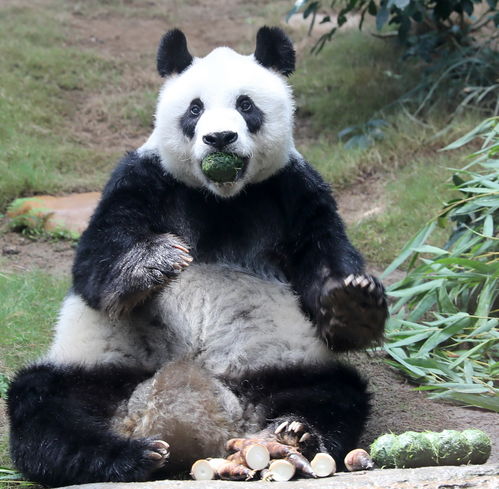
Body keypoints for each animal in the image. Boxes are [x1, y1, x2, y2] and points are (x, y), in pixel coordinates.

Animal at [8, 26, 390, 484]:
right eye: (195, 109)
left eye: (246, 105)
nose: (219, 138)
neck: (220, 197)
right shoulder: (143, 178)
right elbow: (94, 264)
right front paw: (156, 261)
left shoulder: (293, 190)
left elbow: (324, 258)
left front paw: (354, 304)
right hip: (101, 370)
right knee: (43, 405)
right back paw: (127, 456)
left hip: (277, 366)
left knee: (334, 394)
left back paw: (294, 434)